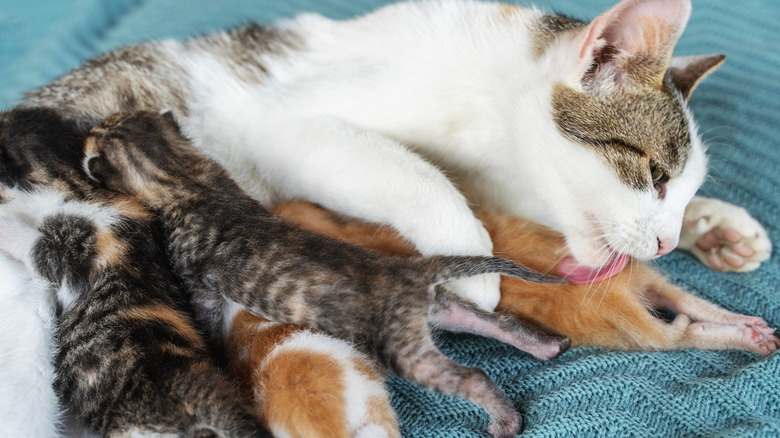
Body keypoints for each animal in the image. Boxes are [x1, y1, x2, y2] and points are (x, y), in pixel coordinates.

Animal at [21, 0, 772, 314]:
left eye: (680, 188)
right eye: (654, 174)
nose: (668, 239)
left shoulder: (501, 181)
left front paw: (716, 224)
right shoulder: (290, 124)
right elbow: (420, 177)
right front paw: (475, 272)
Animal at [85, 109, 568, 438]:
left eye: (94, 139)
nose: (87, 129)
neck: (183, 177)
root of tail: (413, 269)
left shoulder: (199, 283)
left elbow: (207, 321)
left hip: (403, 348)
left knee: (471, 376)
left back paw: (505, 419)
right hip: (437, 310)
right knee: (493, 322)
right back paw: (544, 347)